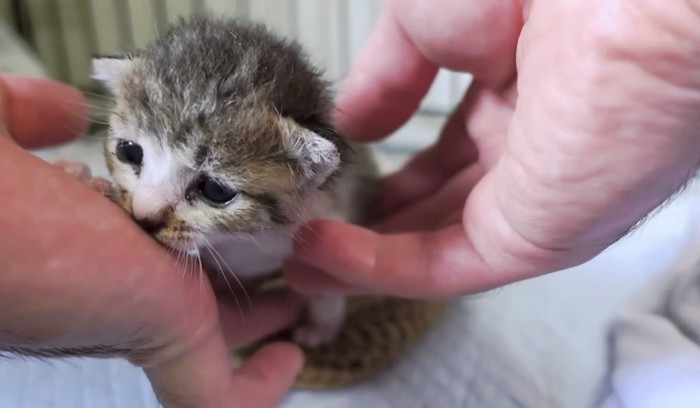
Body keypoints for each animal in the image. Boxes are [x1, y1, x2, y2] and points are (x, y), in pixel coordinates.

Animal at [93, 16, 378, 348]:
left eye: (215, 190)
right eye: (129, 152)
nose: (142, 216)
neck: (240, 241)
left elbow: (324, 288)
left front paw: (321, 327)